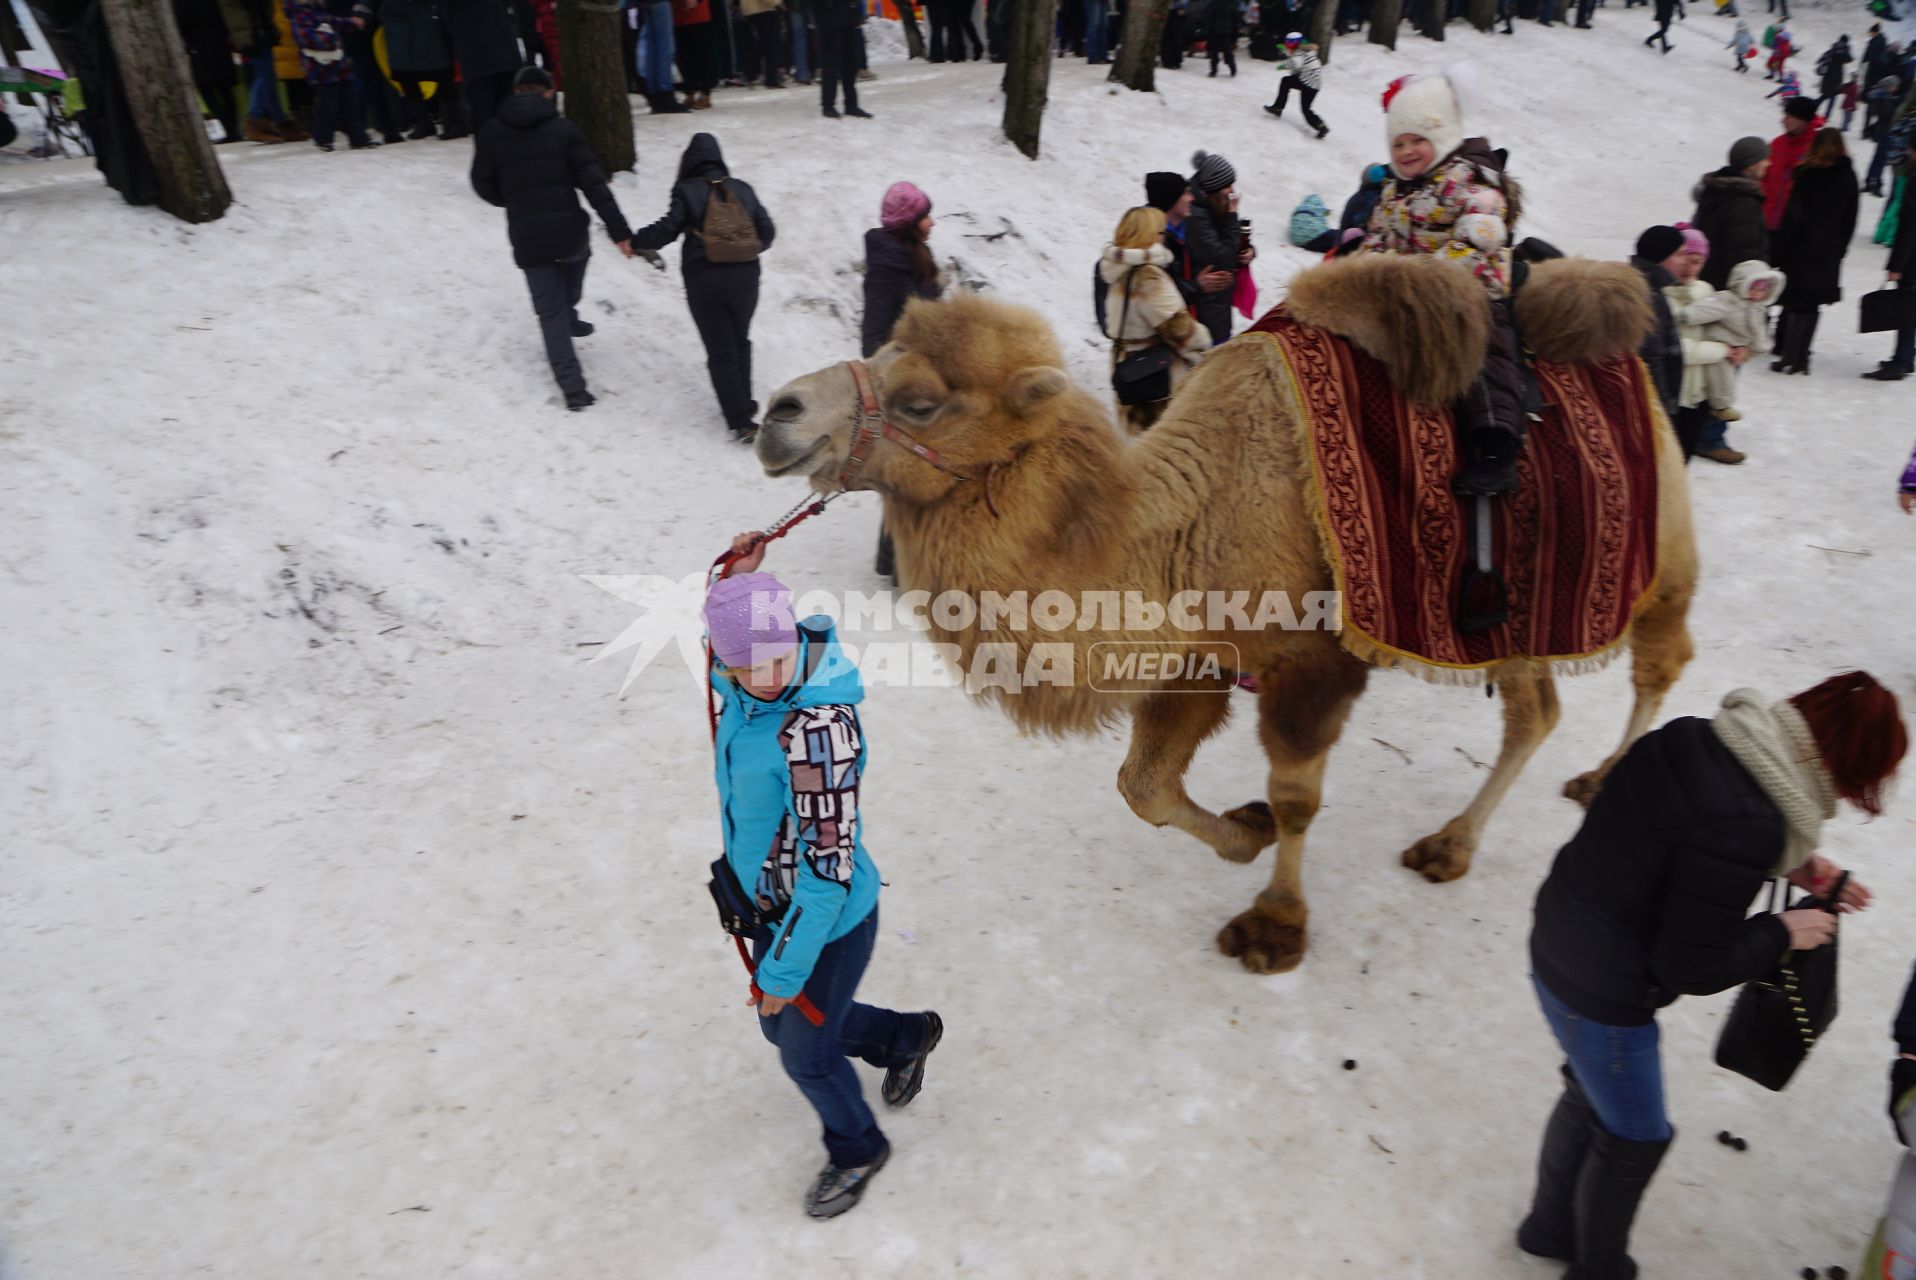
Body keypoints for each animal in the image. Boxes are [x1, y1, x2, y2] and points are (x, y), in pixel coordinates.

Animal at [754, 254, 1701, 973]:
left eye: (920, 400)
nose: (776, 414)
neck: (1194, 523)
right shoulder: (1198, 658)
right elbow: (1144, 787)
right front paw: (1243, 834)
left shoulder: (1313, 665)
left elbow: (1295, 797)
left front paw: (1274, 924)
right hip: (1514, 611)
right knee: (1537, 709)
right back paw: (1452, 845)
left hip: (1656, 551)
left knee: (1660, 659)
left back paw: (1596, 783)